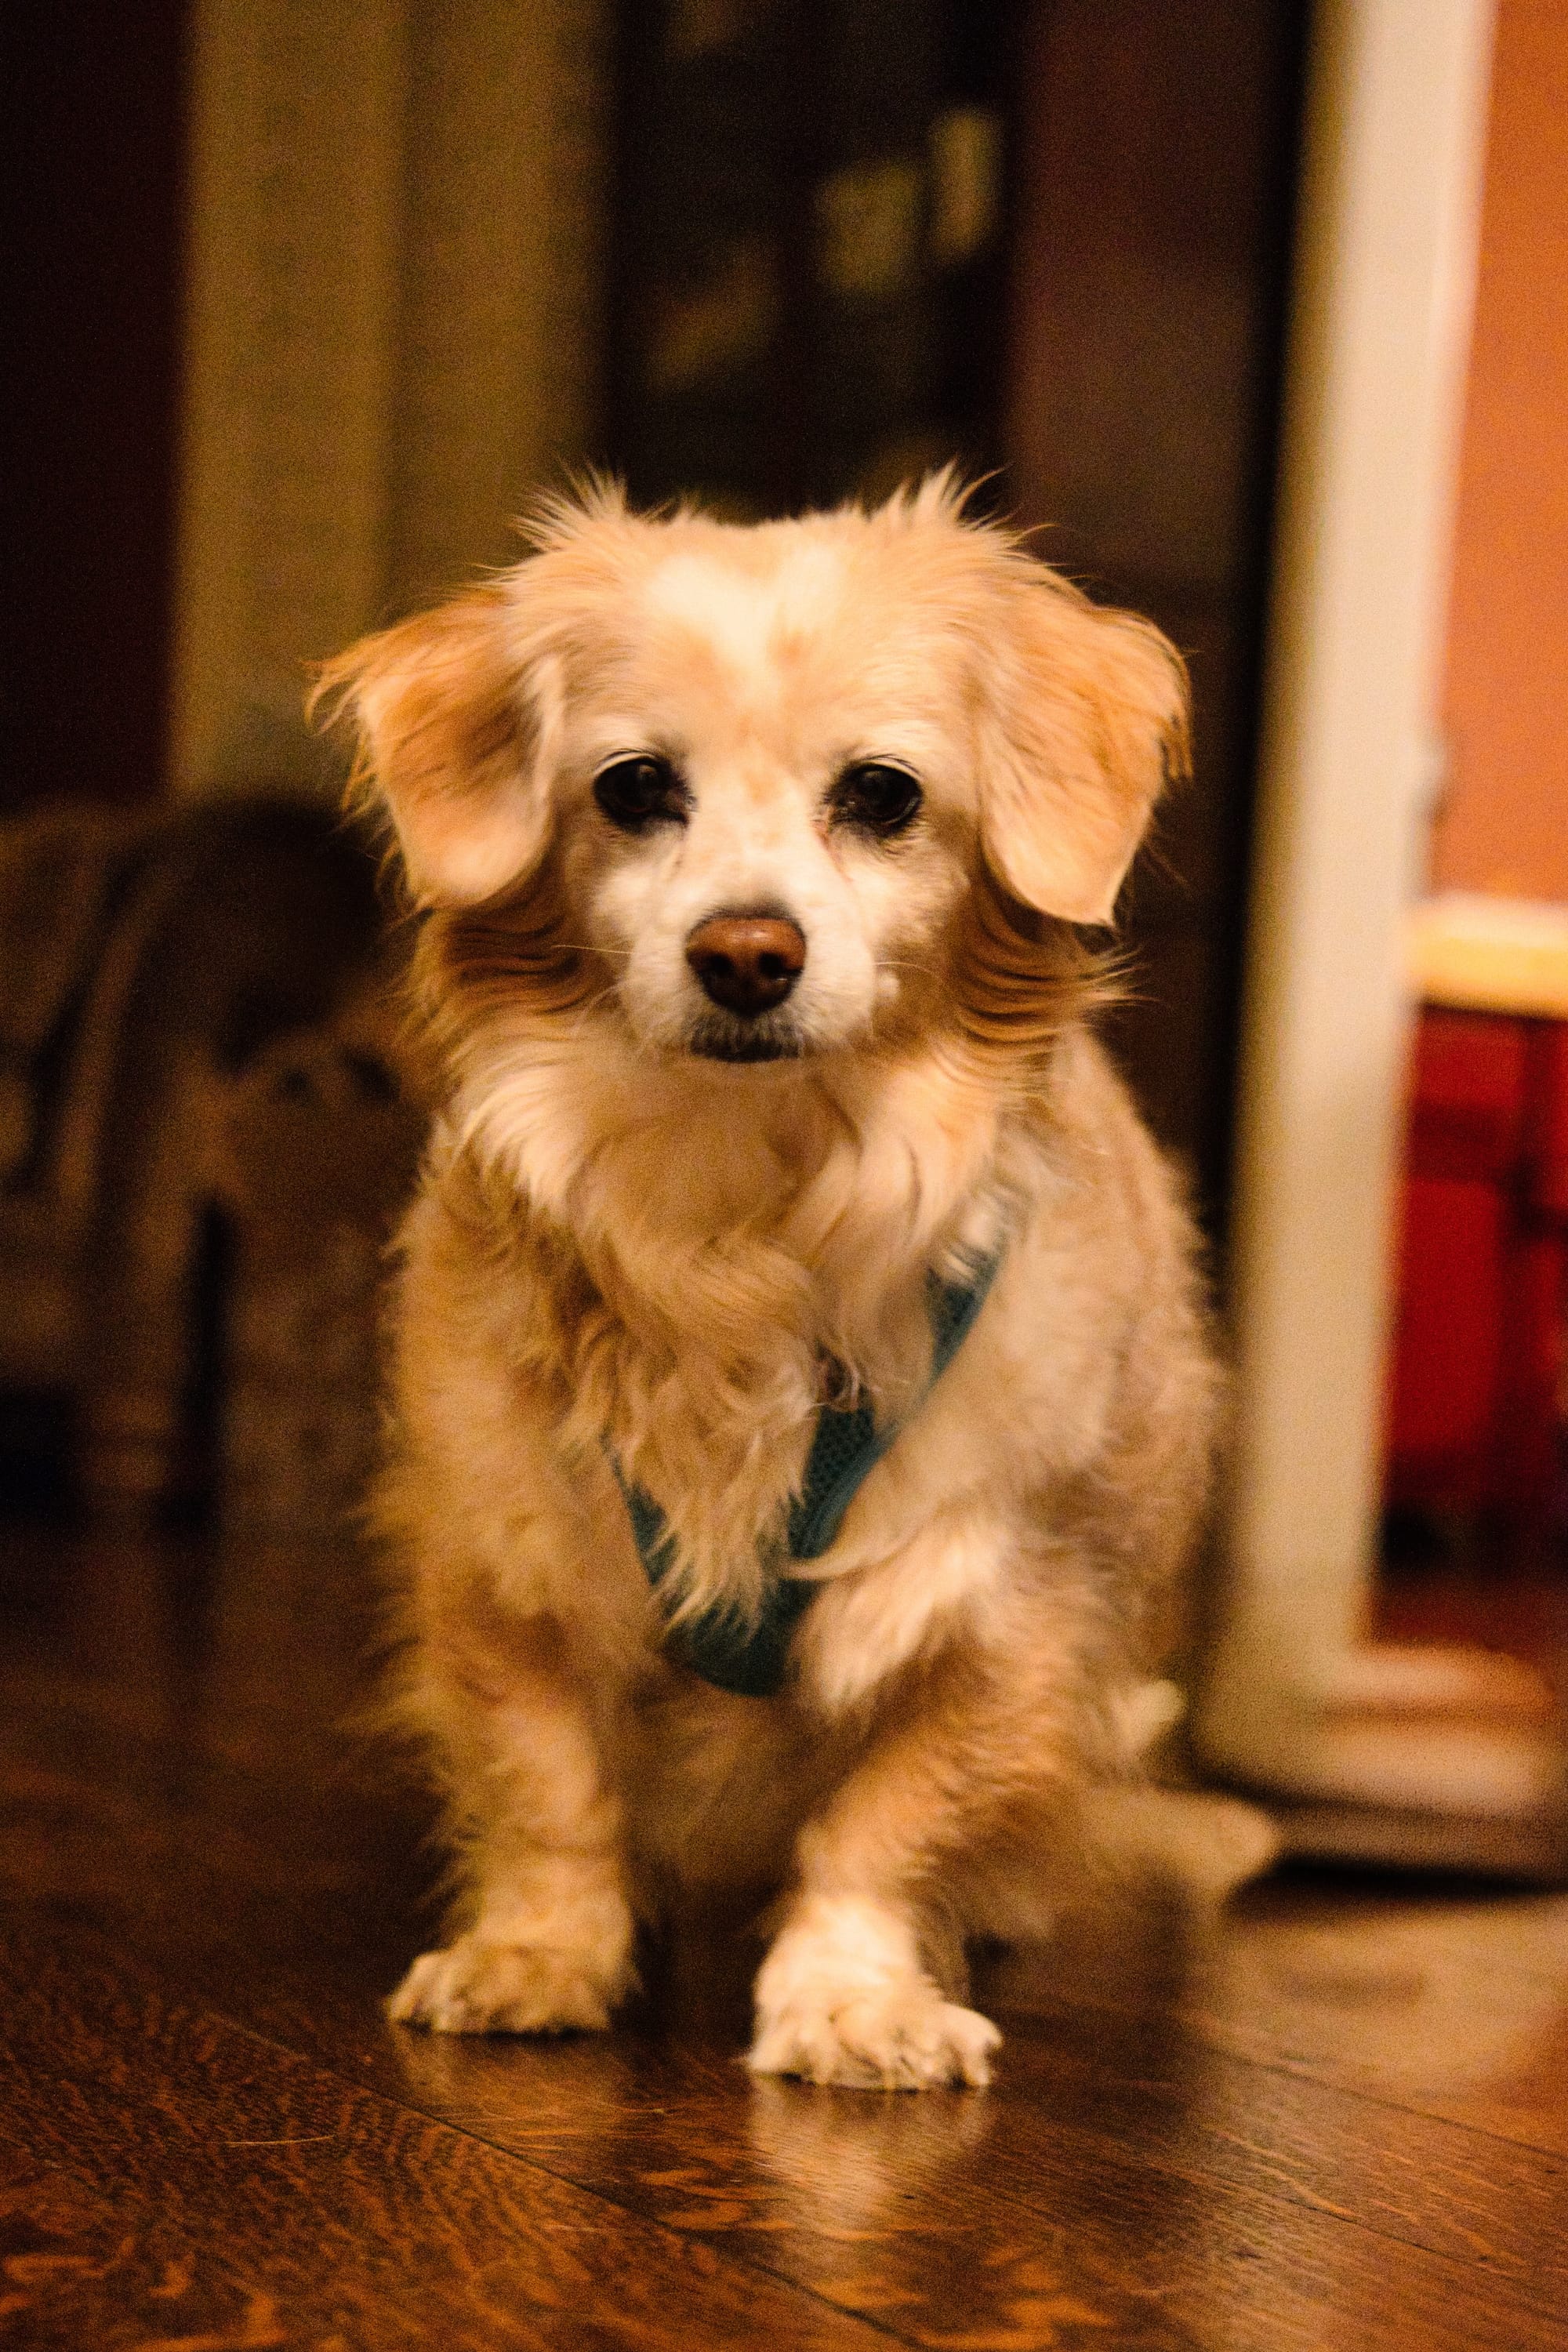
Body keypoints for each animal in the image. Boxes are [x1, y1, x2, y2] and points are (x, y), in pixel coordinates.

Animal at [316, 473, 1267, 2090]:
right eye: (635, 788)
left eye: (881, 795)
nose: (748, 952)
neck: (738, 1216)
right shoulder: (508, 1558)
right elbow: (548, 1786)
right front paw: (542, 1956)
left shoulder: (995, 1598)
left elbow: (889, 1824)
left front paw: (852, 2000)